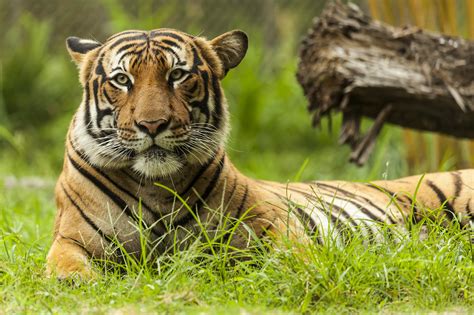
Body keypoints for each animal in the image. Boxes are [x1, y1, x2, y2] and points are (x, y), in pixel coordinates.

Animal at [45, 27, 474, 278]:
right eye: (122, 80)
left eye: (177, 75)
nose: (153, 125)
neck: (156, 184)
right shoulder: (72, 238)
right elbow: (66, 270)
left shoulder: (272, 222)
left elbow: (295, 257)